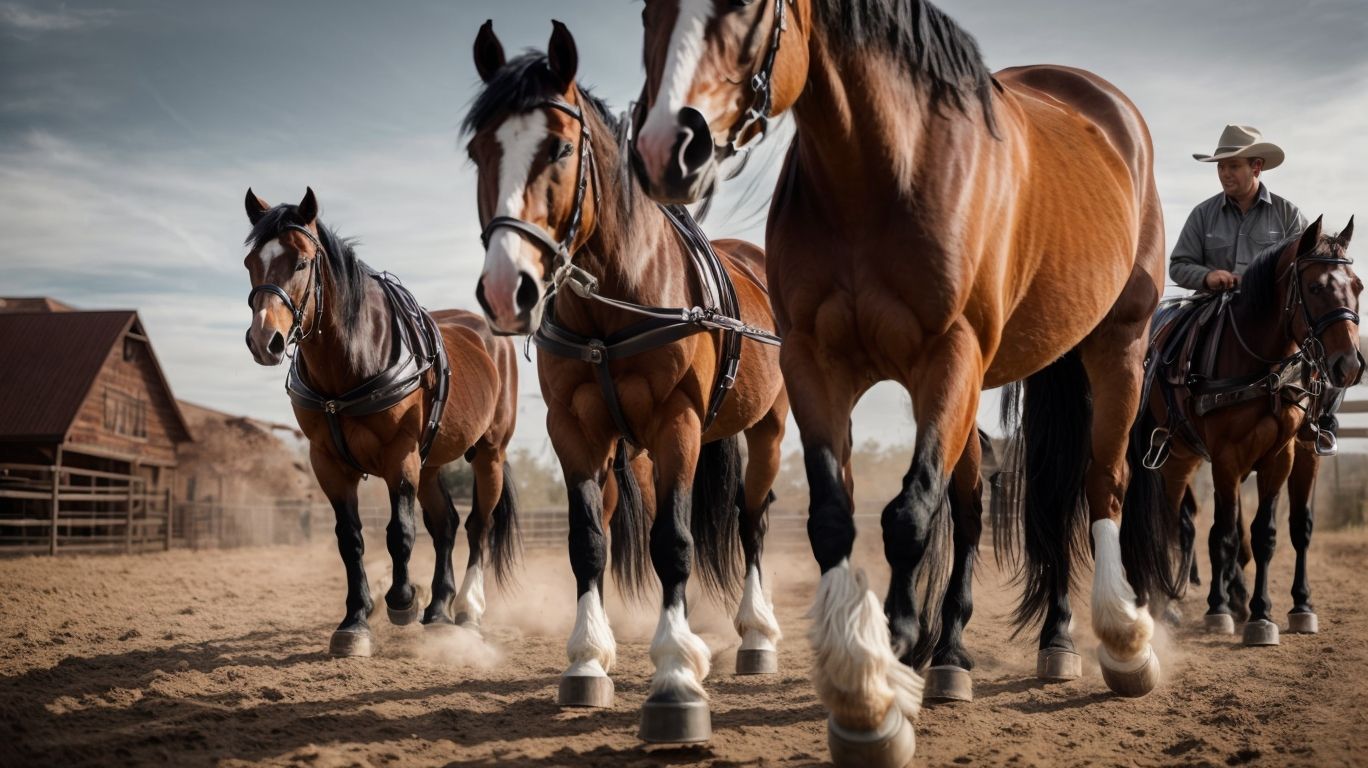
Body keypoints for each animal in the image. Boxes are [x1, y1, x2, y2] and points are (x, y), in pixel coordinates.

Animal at [241, 188, 521, 656]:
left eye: (301, 263)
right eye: (250, 263)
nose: (265, 339)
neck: (351, 363)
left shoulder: (400, 455)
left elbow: (400, 532)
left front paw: (403, 600)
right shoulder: (327, 462)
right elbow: (350, 538)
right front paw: (355, 619)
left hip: (489, 454)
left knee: (476, 527)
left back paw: (467, 609)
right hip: (431, 463)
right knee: (446, 524)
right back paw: (439, 608)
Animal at [464, 21, 789, 744]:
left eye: (559, 147)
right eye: (477, 152)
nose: (505, 289)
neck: (614, 302)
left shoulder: (679, 424)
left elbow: (674, 541)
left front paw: (675, 677)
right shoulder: (575, 431)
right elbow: (590, 543)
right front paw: (588, 660)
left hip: (769, 430)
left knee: (753, 522)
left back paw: (756, 636)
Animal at [630, 2, 1176, 762]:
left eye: (745, 10)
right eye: (646, 13)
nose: (662, 149)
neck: (882, 172)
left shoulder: (949, 358)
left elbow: (909, 514)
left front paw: (890, 658)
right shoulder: (816, 366)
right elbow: (836, 516)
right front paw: (864, 680)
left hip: (1114, 345)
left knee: (1101, 483)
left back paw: (1123, 640)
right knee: (997, 506)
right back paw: (982, 651)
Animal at [1140, 219, 1360, 645]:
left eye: (1356, 285)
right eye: (1315, 287)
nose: (1350, 364)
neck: (1263, 369)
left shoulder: (1281, 457)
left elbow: (1267, 534)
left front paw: (1268, 612)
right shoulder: (1226, 459)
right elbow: (1223, 533)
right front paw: (1221, 610)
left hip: (1192, 459)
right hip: (1172, 460)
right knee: (1168, 522)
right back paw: (1168, 603)